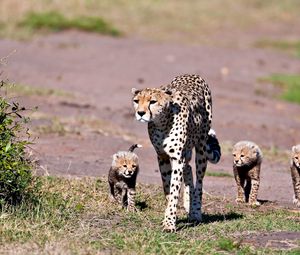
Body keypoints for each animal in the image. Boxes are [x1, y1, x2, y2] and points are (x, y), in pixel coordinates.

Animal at [132, 73, 220, 231]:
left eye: (152, 101)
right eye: (136, 101)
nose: (140, 113)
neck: (162, 123)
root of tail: (192, 74)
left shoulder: (177, 158)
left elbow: (174, 190)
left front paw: (169, 223)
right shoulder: (162, 156)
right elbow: (168, 187)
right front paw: (169, 215)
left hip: (201, 148)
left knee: (199, 181)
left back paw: (195, 212)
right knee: (188, 168)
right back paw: (188, 204)